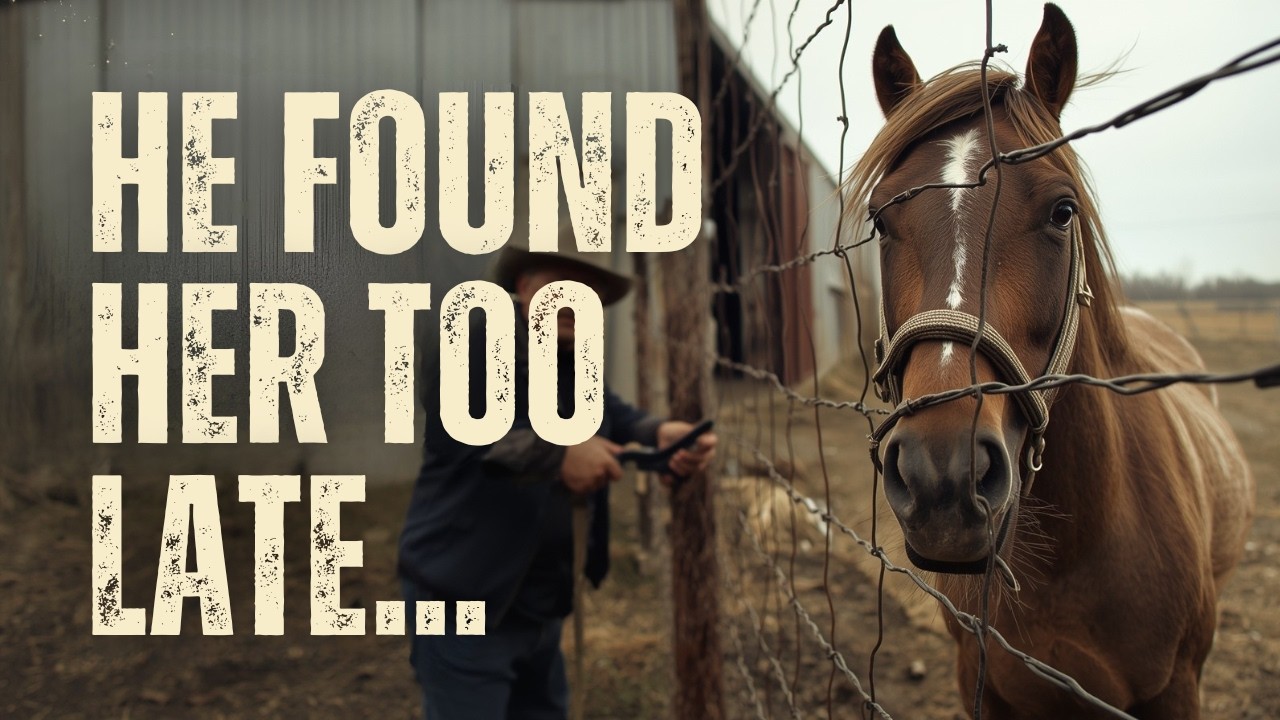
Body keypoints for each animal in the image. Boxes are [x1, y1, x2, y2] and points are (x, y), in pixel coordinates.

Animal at [848, 5, 1255, 717]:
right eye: (881, 220)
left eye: (1062, 211)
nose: (942, 475)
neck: (1074, 552)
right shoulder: (980, 682)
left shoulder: (1177, 689)